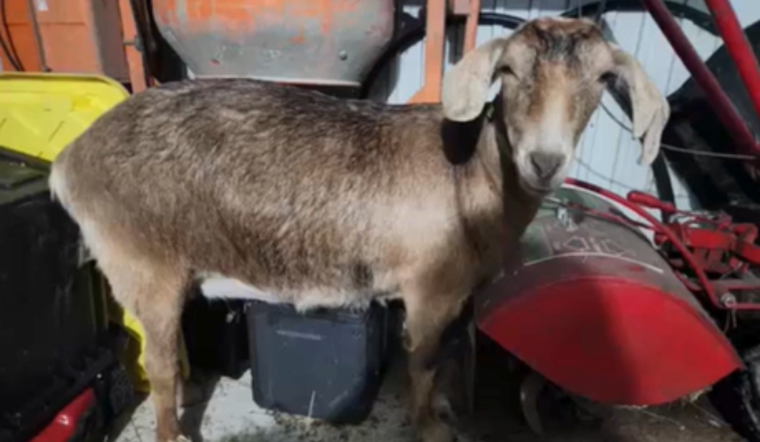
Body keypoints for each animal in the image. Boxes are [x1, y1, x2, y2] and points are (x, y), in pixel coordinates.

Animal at [49, 17, 669, 442]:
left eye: (602, 78)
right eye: (509, 72)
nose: (545, 160)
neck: (469, 178)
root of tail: (71, 159)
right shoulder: (428, 290)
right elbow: (422, 362)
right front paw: (430, 427)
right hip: (142, 263)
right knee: (156, 362)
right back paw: (173, 433)